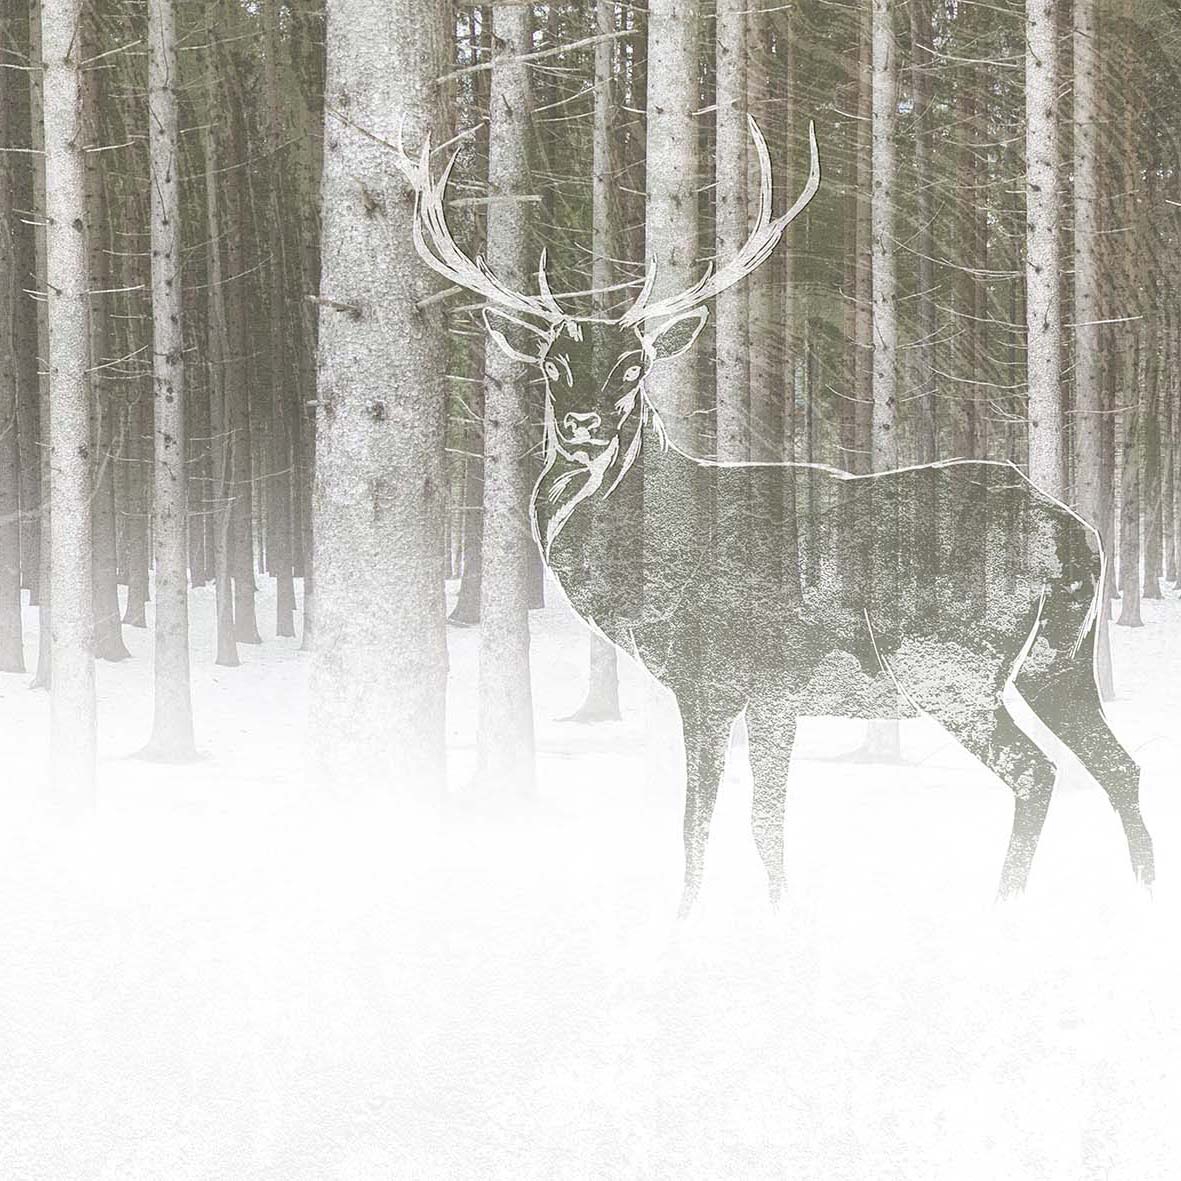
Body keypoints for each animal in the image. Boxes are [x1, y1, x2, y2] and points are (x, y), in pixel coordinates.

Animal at [396, 117, 1154, 915]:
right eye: (551, 363)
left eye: (634, 365)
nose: (583, 425)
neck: (652, 580)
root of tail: (1077, 534)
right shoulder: (767, 699)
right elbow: (756, 827)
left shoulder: (728, 678)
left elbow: (710, 824)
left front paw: (700, 920)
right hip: (1058, 658)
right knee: (1119, 766)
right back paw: (1142, 893)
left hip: (950, 664)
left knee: (1036, 771)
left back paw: (1003, 908)